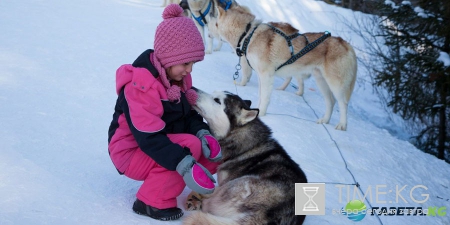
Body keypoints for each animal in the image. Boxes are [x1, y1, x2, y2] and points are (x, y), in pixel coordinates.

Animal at [215, 5, 358, 130]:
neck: (247, 34)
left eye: (215, 24)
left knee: (343, 104)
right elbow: (261, 95)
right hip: (321, 81)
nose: (211, 35)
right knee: (331, 102)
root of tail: (346, 44)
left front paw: (262, 114)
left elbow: (265, 97)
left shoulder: (266, 75)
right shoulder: (261, 76)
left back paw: (342, 125)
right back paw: (324, 120)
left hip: (335, 85)